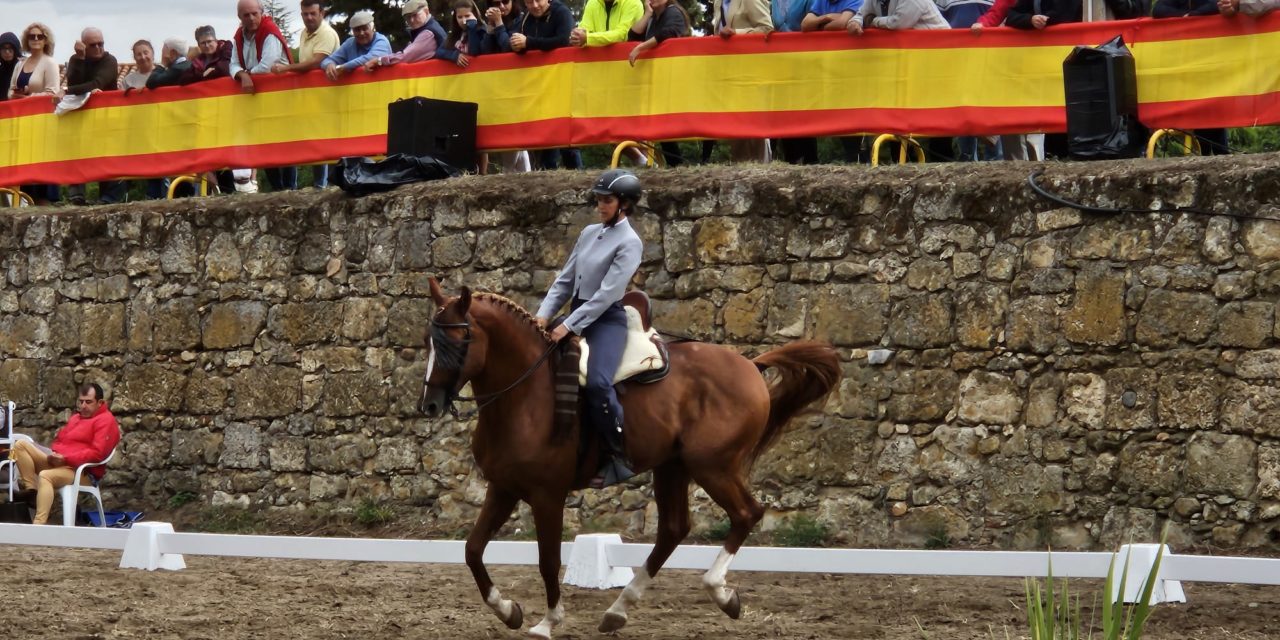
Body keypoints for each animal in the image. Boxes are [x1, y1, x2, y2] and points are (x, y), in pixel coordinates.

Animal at [419, 277, 839, 637]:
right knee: (674, 529)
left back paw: (720, 592)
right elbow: (473, 550)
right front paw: (508, 611)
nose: (430, 405)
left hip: (713, 466)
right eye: (429, 340)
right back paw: (618, 610)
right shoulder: (503, 488)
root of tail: (750, 365)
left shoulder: (547, 495)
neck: (524, 397)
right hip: (673, 467)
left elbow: (548, 560)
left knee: (746, 513)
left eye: (457, 339)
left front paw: (548, 622)